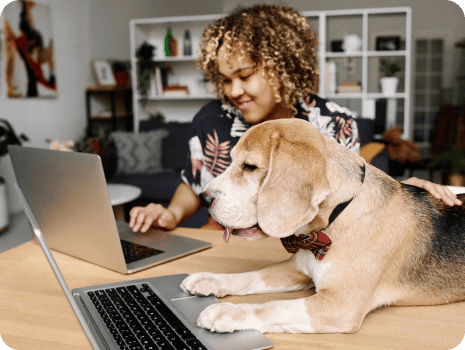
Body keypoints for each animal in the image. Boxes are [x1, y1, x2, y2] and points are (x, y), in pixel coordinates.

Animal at [180, 119, 464, 334]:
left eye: (249, 167)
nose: (204, 198)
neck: (331, 224)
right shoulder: (295, 271)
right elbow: (250, 276)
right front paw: (210, 279)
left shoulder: (339, 305)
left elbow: (273, 306)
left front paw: (228, 312)